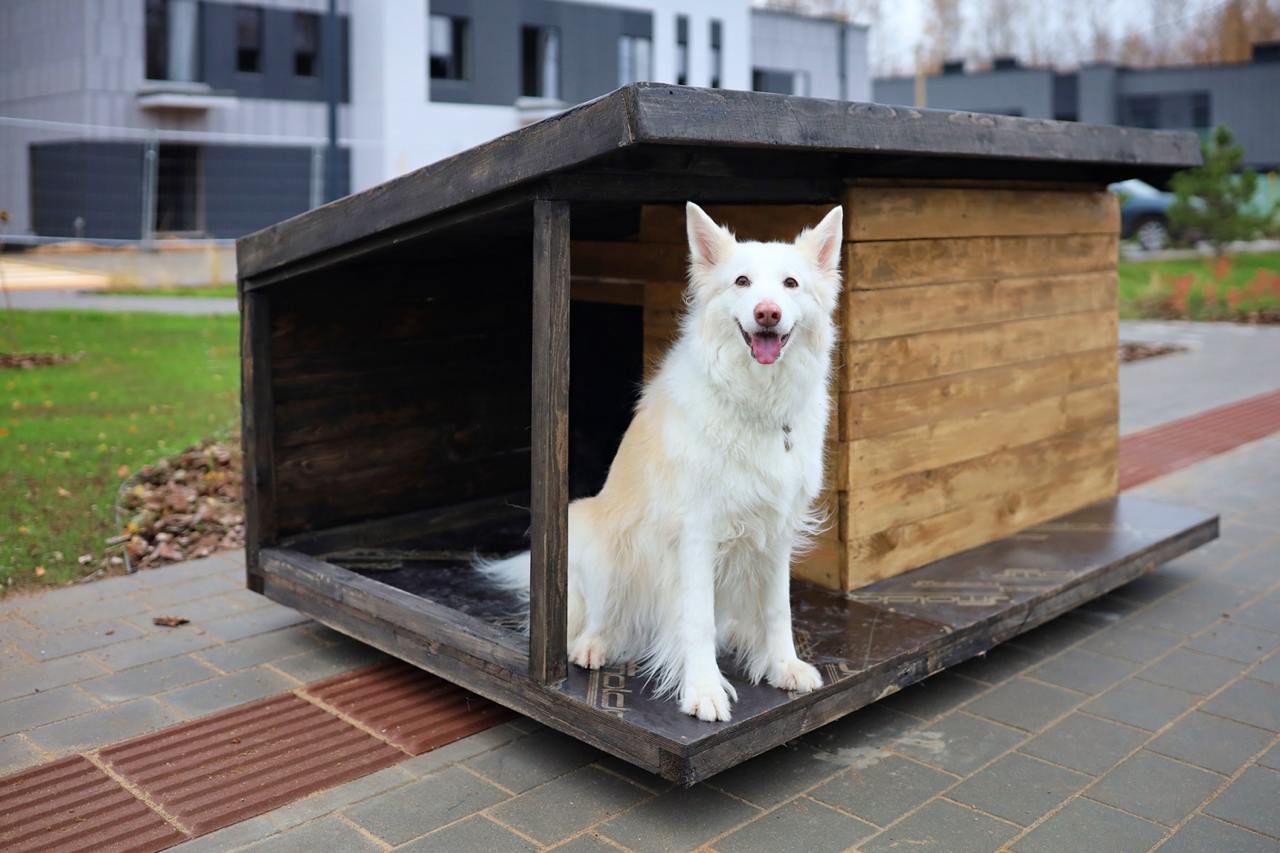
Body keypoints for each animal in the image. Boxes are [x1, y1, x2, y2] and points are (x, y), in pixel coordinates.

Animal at [478, 204, 839, 717]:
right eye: (742, 281)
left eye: (790, 284)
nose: (766, 313)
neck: (754, 401)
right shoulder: (697, 532)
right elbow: (698, 621)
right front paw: (703, 690)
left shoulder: (777, 530)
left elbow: (777, 609)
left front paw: (783, 665)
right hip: (600, 541)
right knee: (601, 617)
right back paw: (594, 645)